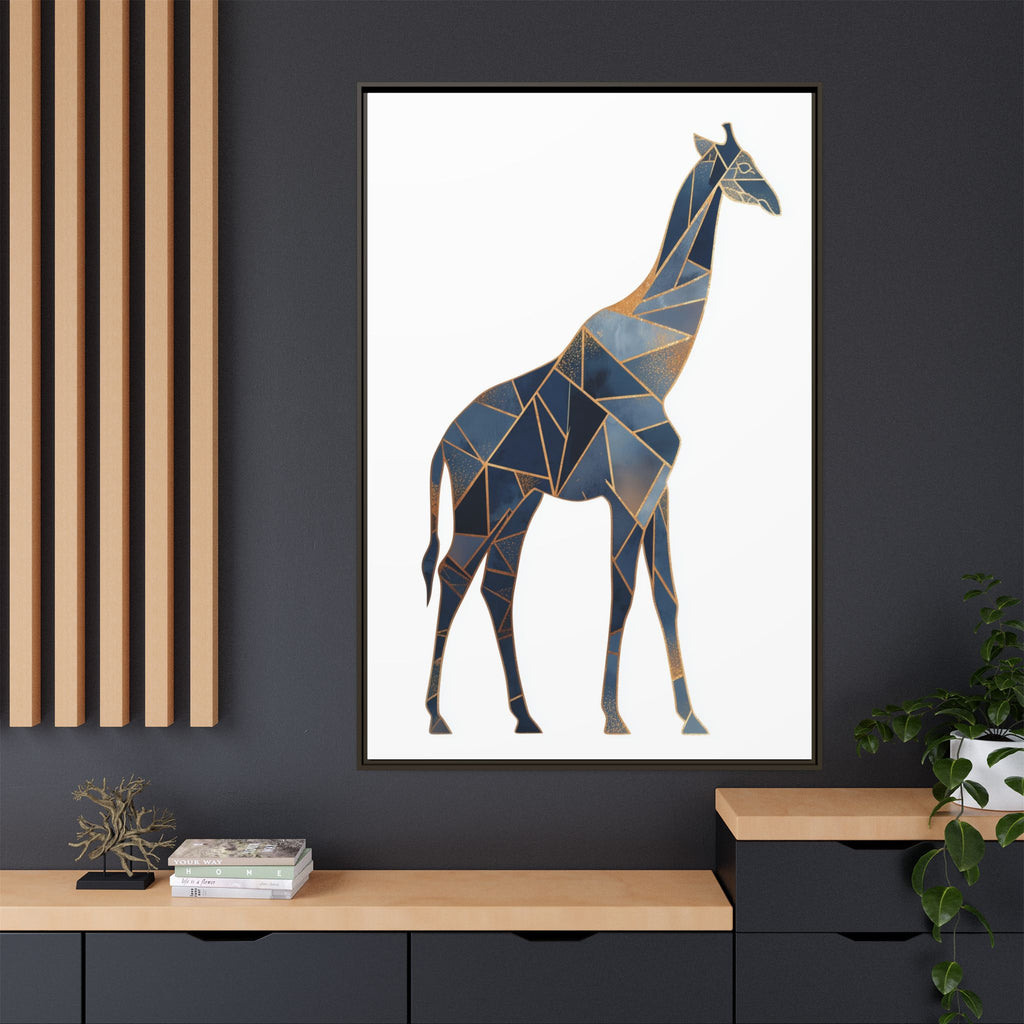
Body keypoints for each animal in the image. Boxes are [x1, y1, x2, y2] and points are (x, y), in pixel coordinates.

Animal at [420, 123, 781, 736]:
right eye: (744, 164)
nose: (775, 202)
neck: (658, 363)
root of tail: (444, 444)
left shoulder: (657, 493)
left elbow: (666, 596)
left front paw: (690, 718)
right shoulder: (628, 495)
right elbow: (623, 595)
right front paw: (614, 718)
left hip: (518, 506)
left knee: (497, 586)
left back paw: (525, 717)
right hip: (480, 505)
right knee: (452, 576)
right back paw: (438, 717)